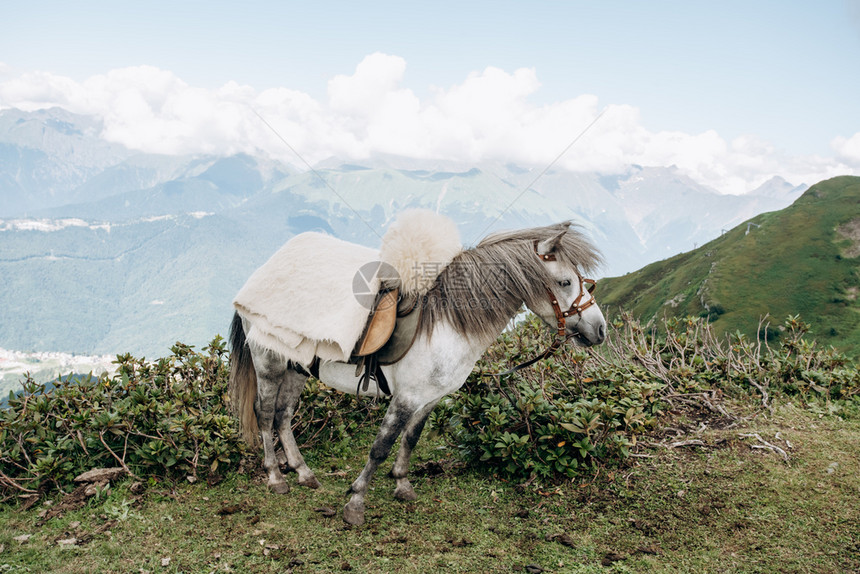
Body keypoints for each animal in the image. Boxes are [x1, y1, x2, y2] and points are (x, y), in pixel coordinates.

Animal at [228, 223, 604, 528]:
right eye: (564, 281)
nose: (599, 329)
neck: (448, 323)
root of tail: (257, 277)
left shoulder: (430, 398)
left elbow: (410, 439)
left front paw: (402, 485)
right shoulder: (406, 398)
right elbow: (380, 447)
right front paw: (356, 503)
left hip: (298, 367)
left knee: (283, 415)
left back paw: (303, 472)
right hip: (269, 362)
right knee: (265, 414)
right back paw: (276, 477)